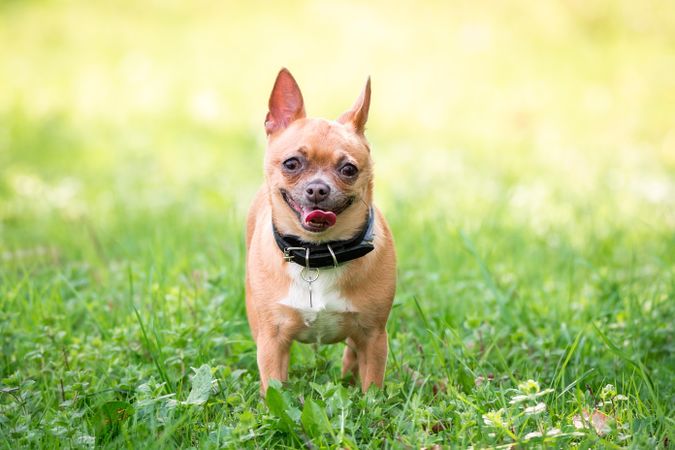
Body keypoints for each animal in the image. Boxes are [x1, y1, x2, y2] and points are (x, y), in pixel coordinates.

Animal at [247, 67, 396, 394]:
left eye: (348, 170)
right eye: (291, 163)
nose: (318, 188)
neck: (318, 253)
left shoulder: (374, 337)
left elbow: (372, 387)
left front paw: (370, 404)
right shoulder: (272, 341)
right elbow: (274, 389)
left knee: (351, 353)